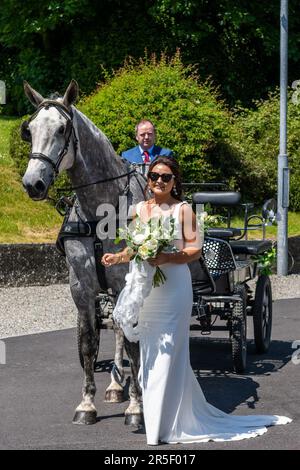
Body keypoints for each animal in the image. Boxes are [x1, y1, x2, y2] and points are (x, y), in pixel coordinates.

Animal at [21, 80, 145, 426]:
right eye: (29, 130)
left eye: (62, 129)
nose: (33, 183)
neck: (99, 211)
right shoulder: (81, 287)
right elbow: (89, 344)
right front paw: (87, 403)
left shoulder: (126, 282)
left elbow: (133, 344)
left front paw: (136, 407)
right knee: (116, 327)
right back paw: (115, 384)